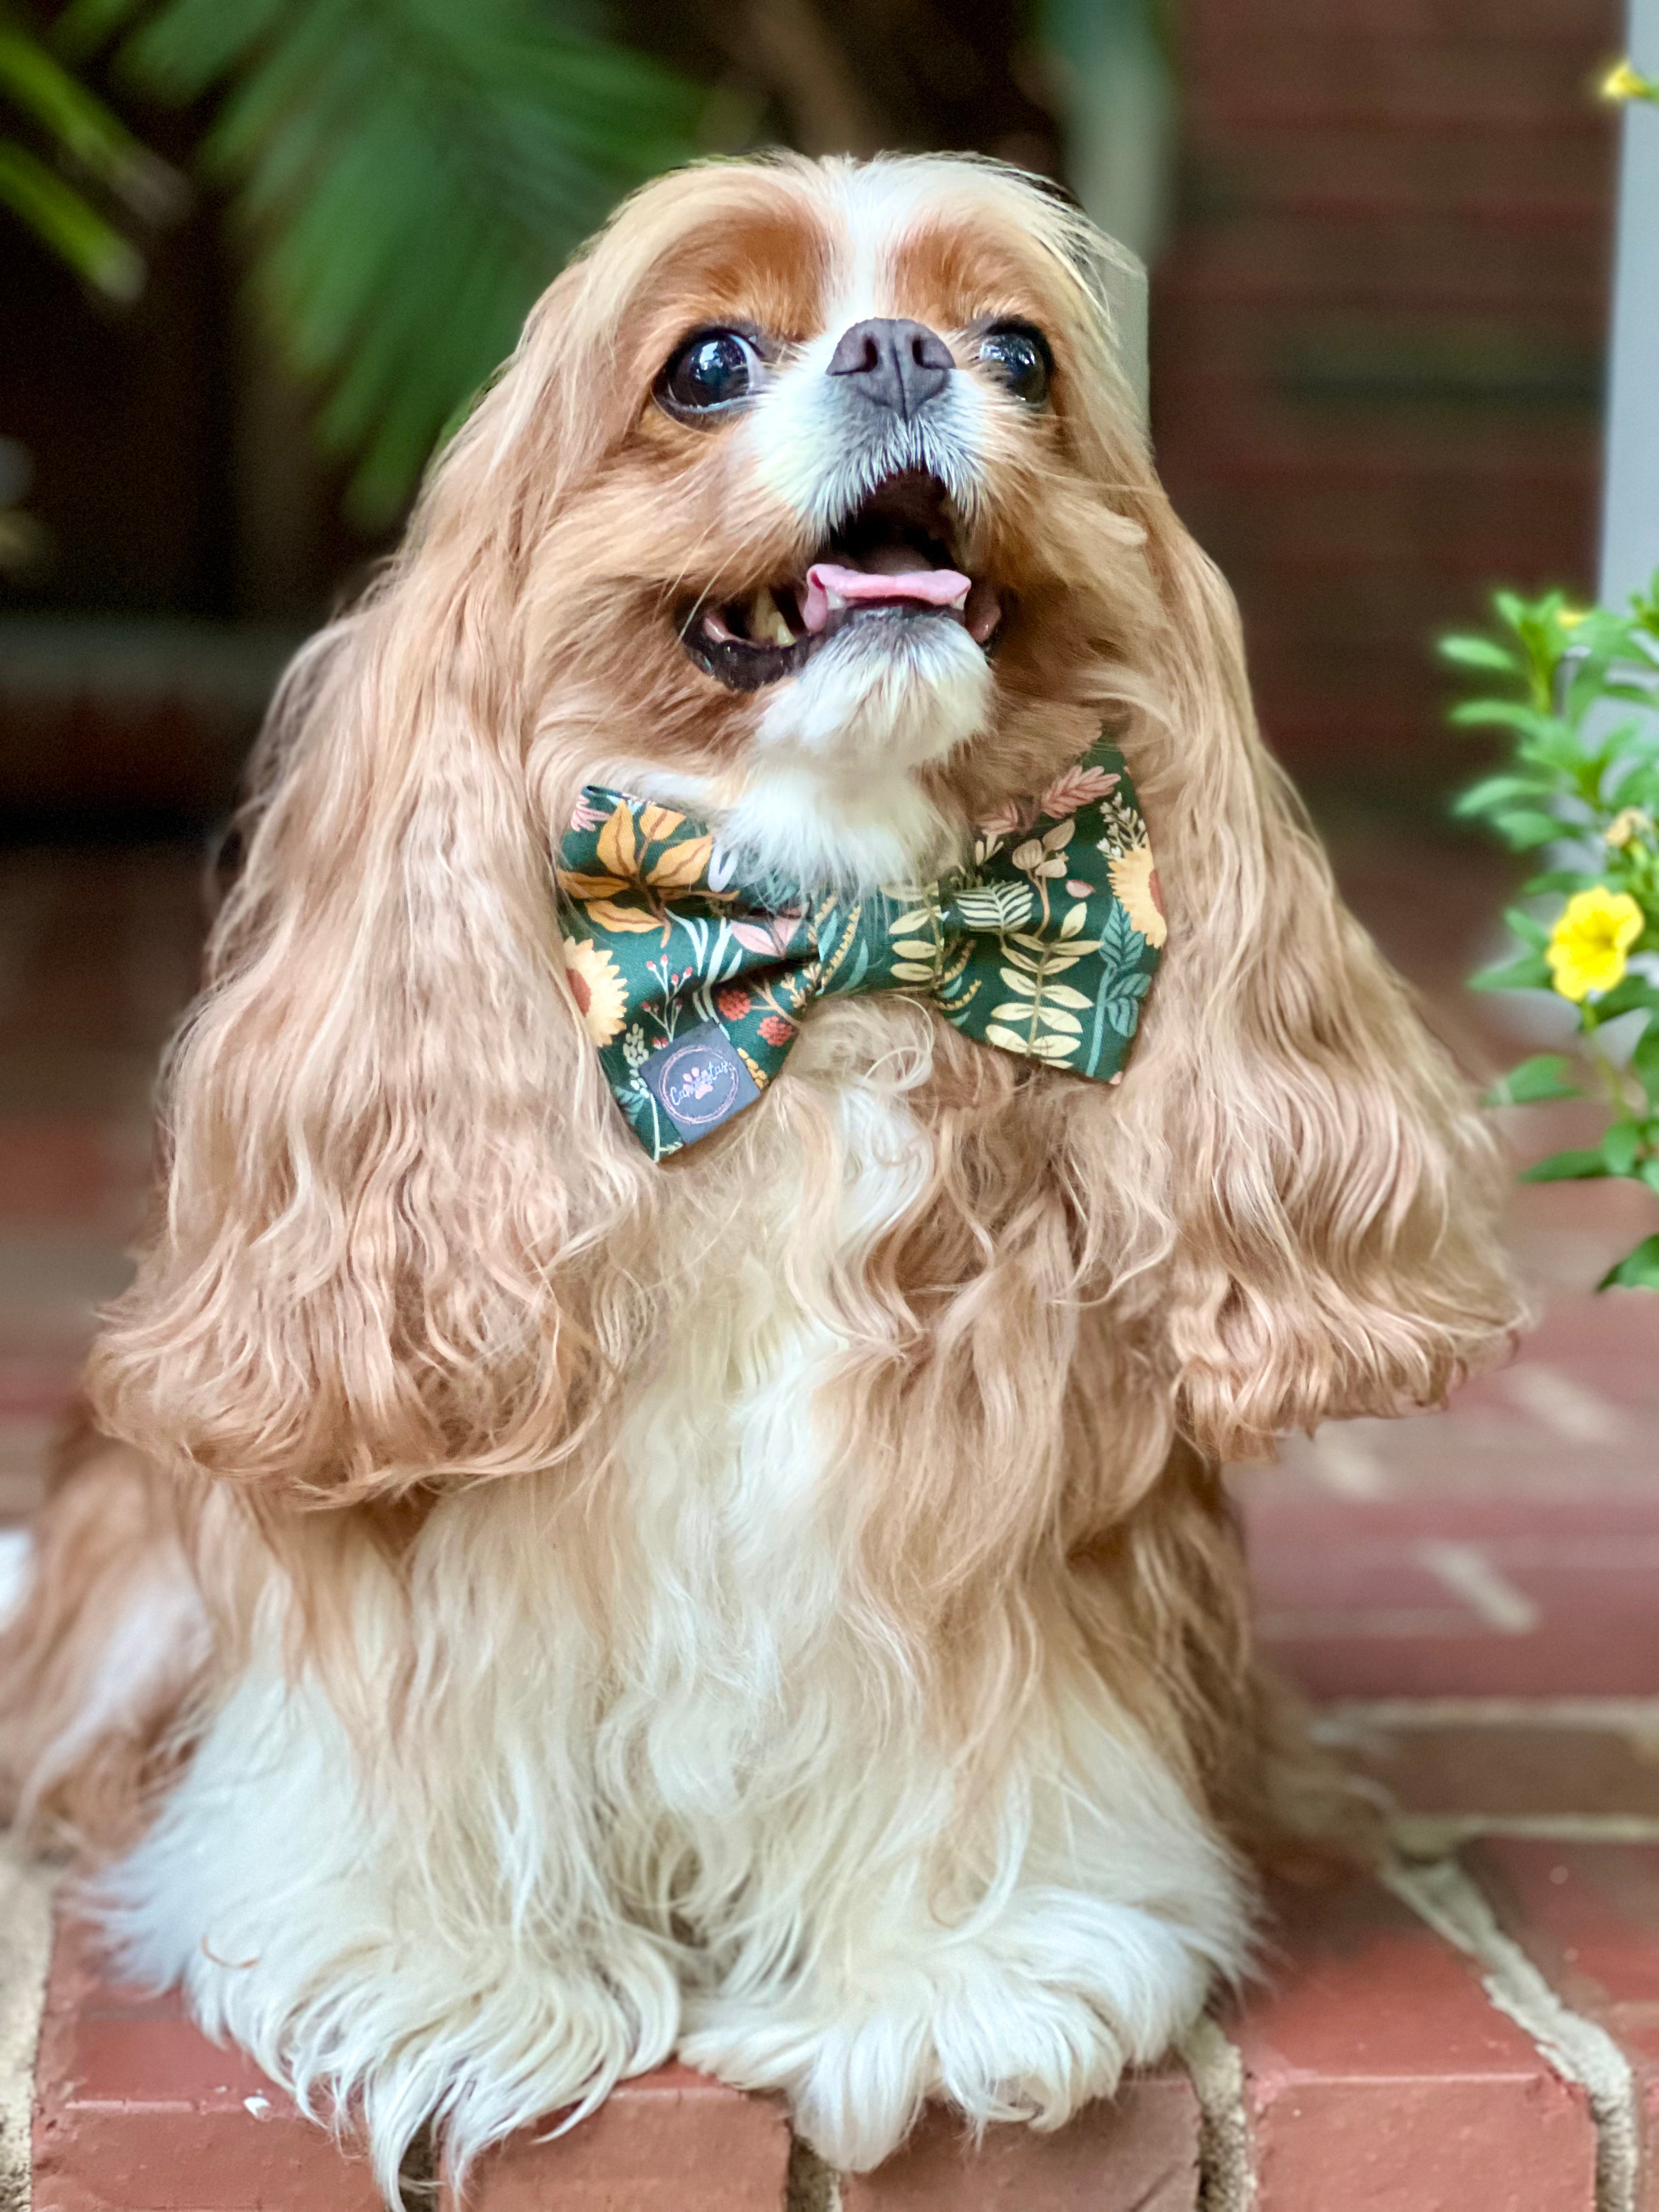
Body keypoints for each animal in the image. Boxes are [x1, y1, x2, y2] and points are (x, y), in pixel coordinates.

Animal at [3, 151, 1531, 2194]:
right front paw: (455, 1970)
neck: (819, 952)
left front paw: (950, 1969)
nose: (900, 351)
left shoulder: (1005, 1502)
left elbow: (988, 1732)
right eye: (709, 361)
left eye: (1018, 352)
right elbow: (415, 1747)